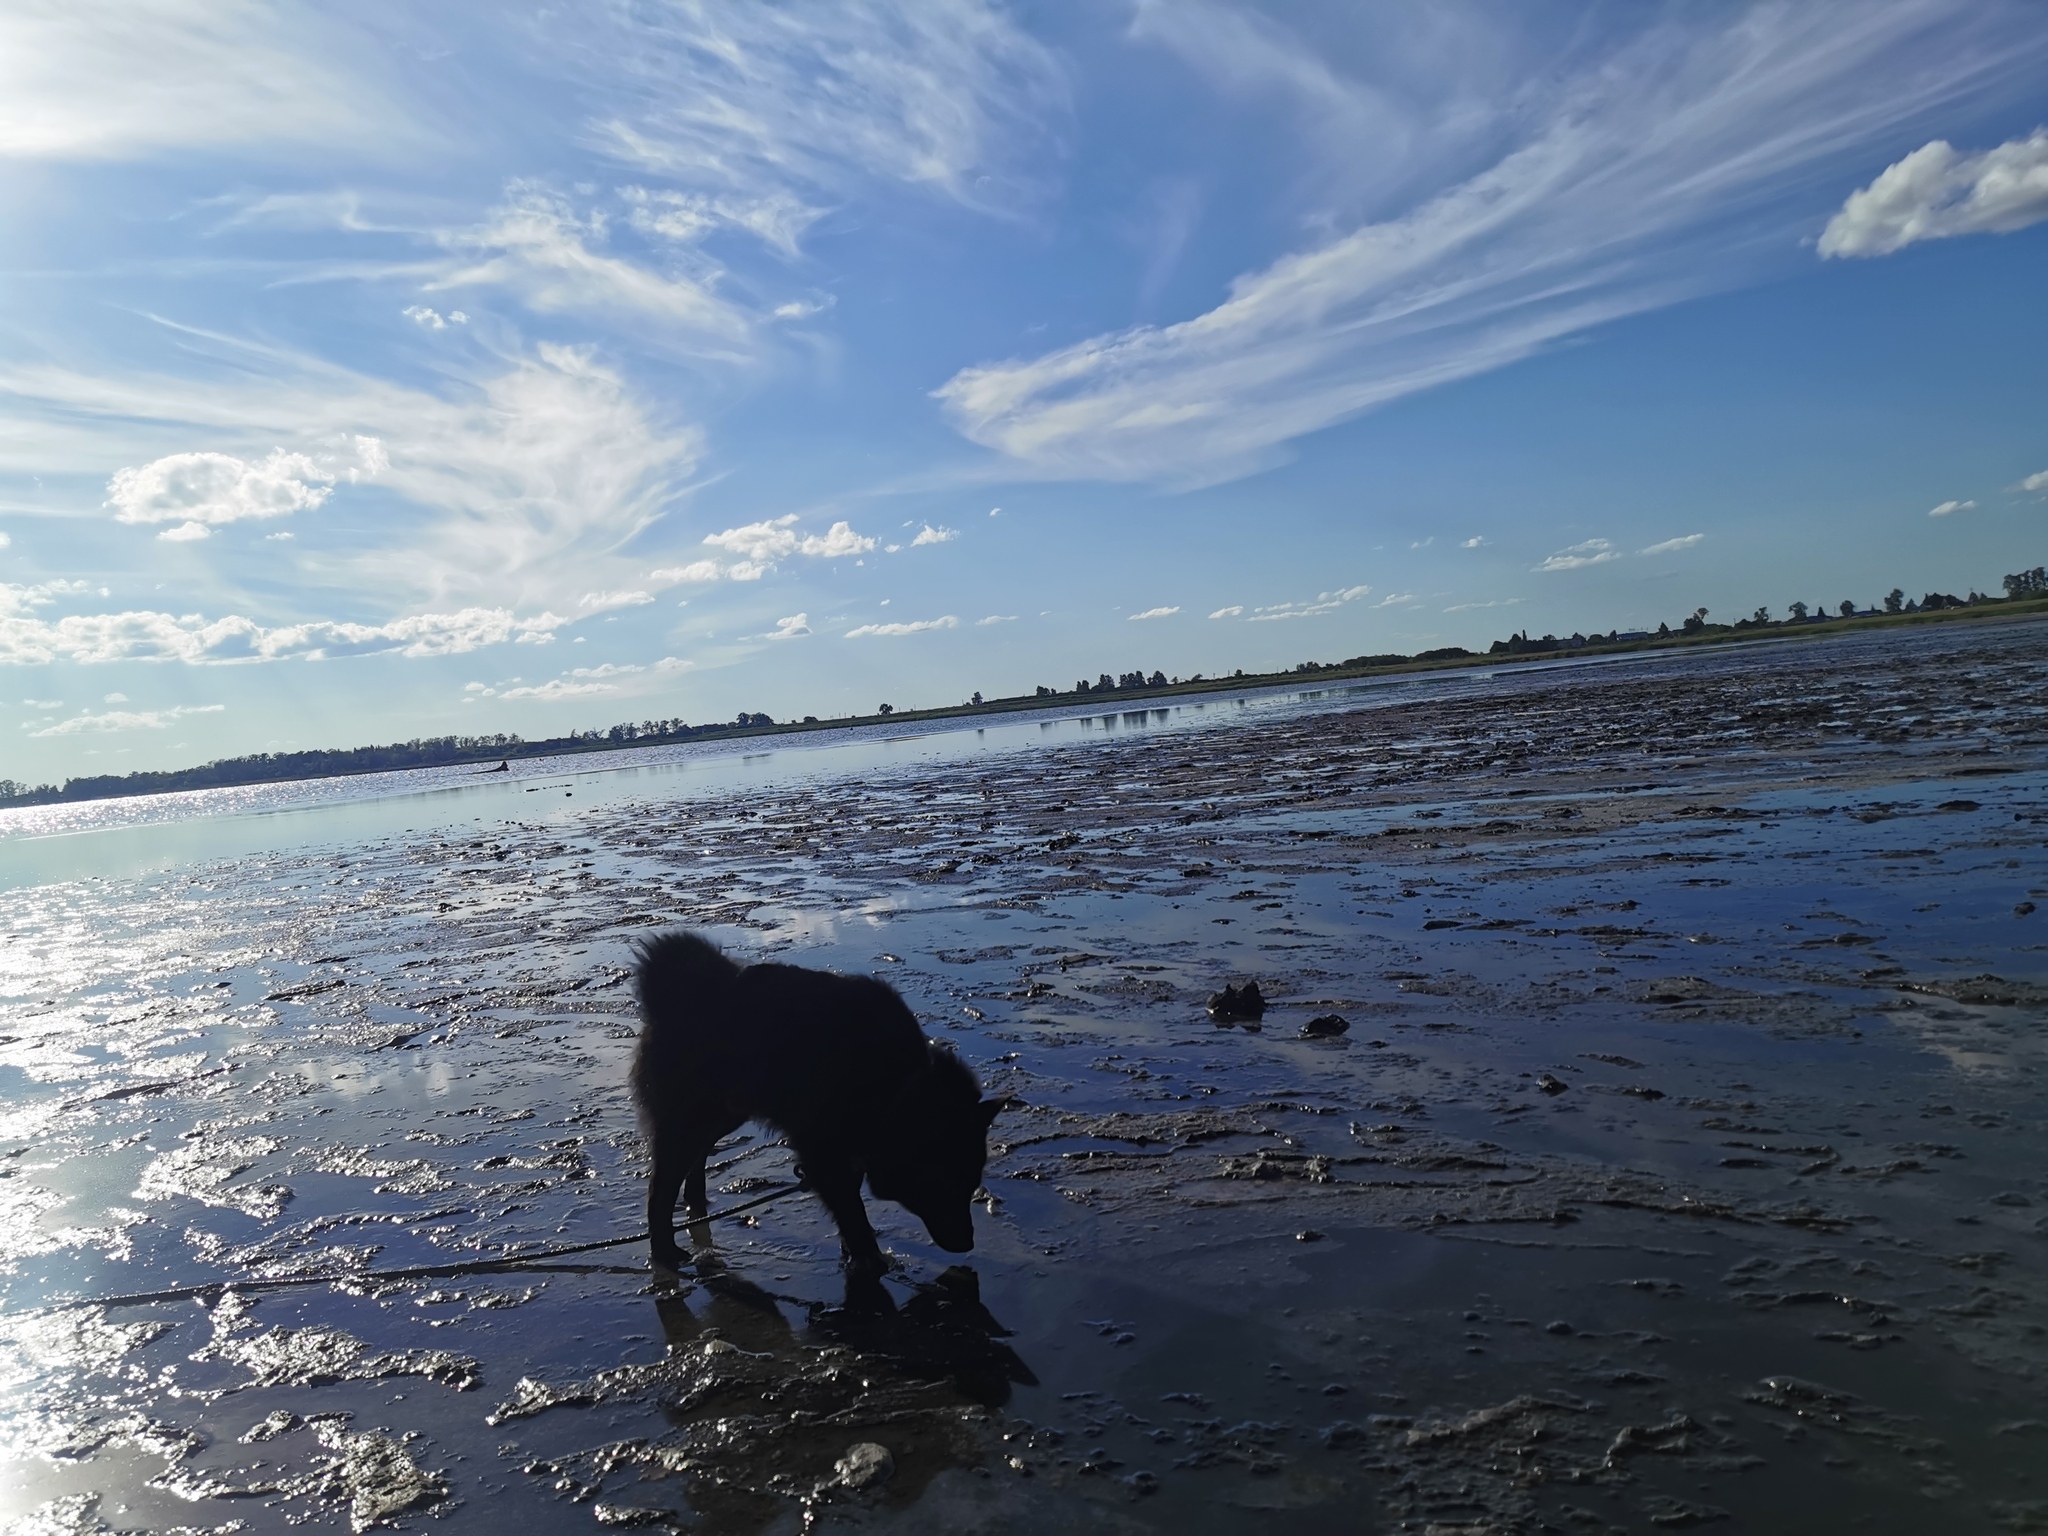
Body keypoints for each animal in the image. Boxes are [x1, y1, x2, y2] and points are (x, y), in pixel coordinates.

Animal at [630, 933, 999, 1277]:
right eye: (945, 1182)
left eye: (971, 1182)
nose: (968, 1243)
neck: (894, 1086)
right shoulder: (821, 1151)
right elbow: (850, 1209)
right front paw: (869, 1256)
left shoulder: (848, 1149)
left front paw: (854, 1252)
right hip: (690, 1118)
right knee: (660, 1187)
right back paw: (665, 1250)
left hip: (725, 1113)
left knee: (697, 1156)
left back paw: (697, 1201)